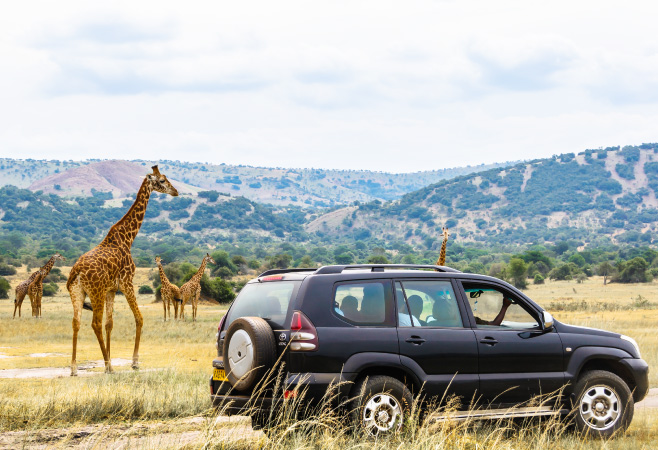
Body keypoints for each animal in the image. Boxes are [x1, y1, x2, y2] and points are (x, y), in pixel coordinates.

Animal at [66, 166, 178, 376]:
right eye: (161, 180)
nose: (175, 191)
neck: (128, 238)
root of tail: (76, 271)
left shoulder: (111, 289)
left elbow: (110, 324)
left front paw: (111, 358)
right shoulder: (127, 283)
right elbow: (139, 318)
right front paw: (134, 362)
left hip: (77, 292)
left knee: (76, 322)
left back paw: (75, 368)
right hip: (95, 292)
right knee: (94, 323)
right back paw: (108, 367)